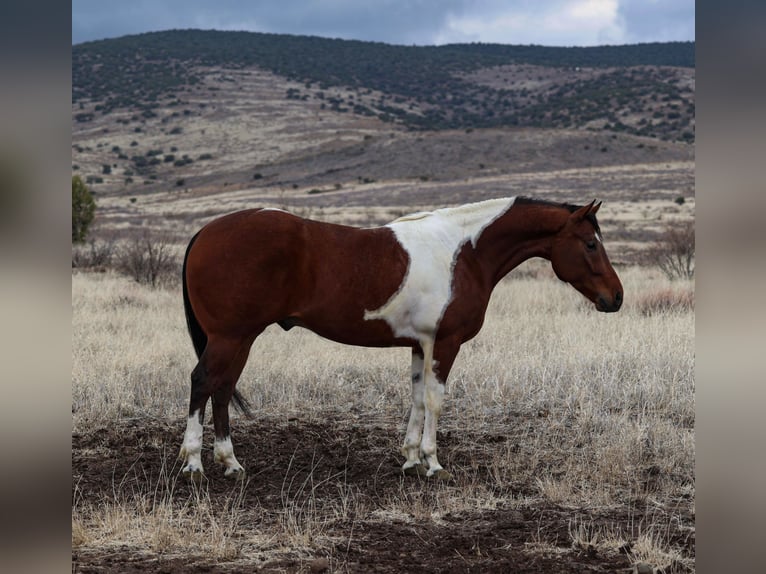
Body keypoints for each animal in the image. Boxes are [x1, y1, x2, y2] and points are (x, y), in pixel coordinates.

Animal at [178, 198, 624, 482]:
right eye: (590, 244)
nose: (616, 298)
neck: (464, 253)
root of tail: (205, 232)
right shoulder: (445, 343)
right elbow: (435, 400)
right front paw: (432, 462)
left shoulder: (418, 344)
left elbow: (415, 397)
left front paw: (410, 460)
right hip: (230, 337)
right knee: (202, 382)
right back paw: (193, 465)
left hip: (240, 338)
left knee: (222, 388)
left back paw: (230, 463)